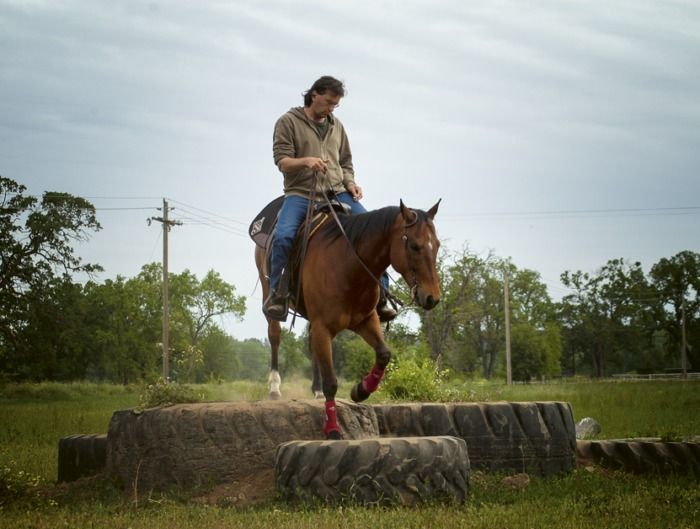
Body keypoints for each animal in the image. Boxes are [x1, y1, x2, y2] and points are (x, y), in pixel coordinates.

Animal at [254, 198, 440, 438]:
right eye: (414, 246)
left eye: (437, 245)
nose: (432, 298)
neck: (348, 267)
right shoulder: (324, 327)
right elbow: (332, 383)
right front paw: (332, 428)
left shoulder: (365, 320)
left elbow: (384, 354)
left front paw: (360, 390)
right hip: (268, 291)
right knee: (275, 335)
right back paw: (275, 387)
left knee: (311, 345)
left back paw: (316, 390)